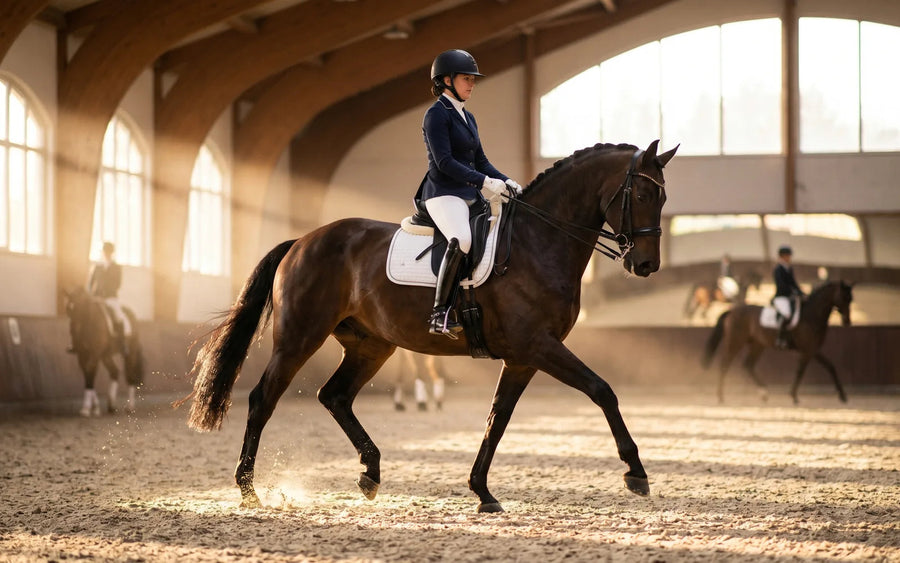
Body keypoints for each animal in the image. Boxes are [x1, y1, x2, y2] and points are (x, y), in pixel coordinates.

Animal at [63, 287, 144, 416]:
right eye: (68, 309)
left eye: (81, 309)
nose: (74, 334)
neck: (89, 322)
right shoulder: (82, 355)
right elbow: (87, 374)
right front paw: (94, 407)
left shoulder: (94, 354)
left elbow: (90, 373)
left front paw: (87, 408)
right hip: (106, 355)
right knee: (114, 372)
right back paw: (111, 405)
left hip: (130, 353)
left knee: (130, 375)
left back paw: (130, 407)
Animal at [183, 140, 678, 513]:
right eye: (641, 195)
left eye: (663, 197)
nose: (646, 265)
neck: (537, 242)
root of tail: (302, 240)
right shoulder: (538, 345)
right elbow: (602, 390)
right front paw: (636, 472)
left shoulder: (522, 357)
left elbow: (497, 419)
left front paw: (482, 491)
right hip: (299, 337)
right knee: (263, 399)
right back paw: (249, 490)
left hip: (370, 345)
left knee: (335, 396)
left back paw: (370, 474)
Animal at [702, 280, 853, 405]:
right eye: (844, 298)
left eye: (851, 299)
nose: (847, 321)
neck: (812, 316)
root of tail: (732, 311)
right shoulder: (809, 349)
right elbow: (803, 371)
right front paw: (794, 396)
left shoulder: (812, 350)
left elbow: (829, 367)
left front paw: (843, 396)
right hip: (735, 341)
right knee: (725, 364)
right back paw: (721, 397)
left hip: (758, 345)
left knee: (748, 365)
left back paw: (764, 394)